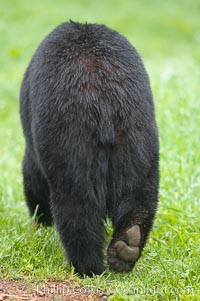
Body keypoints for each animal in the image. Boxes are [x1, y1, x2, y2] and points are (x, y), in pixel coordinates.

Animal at [19, 19, 159, 276]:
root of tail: (103, 91)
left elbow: (33, 177)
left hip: (69, 133)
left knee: (76, 200)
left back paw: (87, 266)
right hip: (137, 132)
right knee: (140, 189)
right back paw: (128, 245)